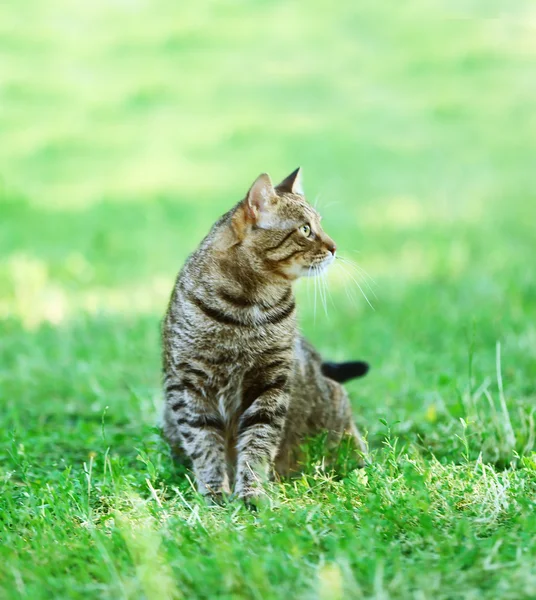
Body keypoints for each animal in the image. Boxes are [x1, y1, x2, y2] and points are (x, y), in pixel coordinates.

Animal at [160, 168, 368, 502]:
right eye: (306, 229)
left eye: (320, 224)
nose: (335, 247)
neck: (249, 307)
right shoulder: (188, 385)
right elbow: (204, 444)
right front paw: (214, 494)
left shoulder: (271, 384)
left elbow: (258, 443)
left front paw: (251, 493)